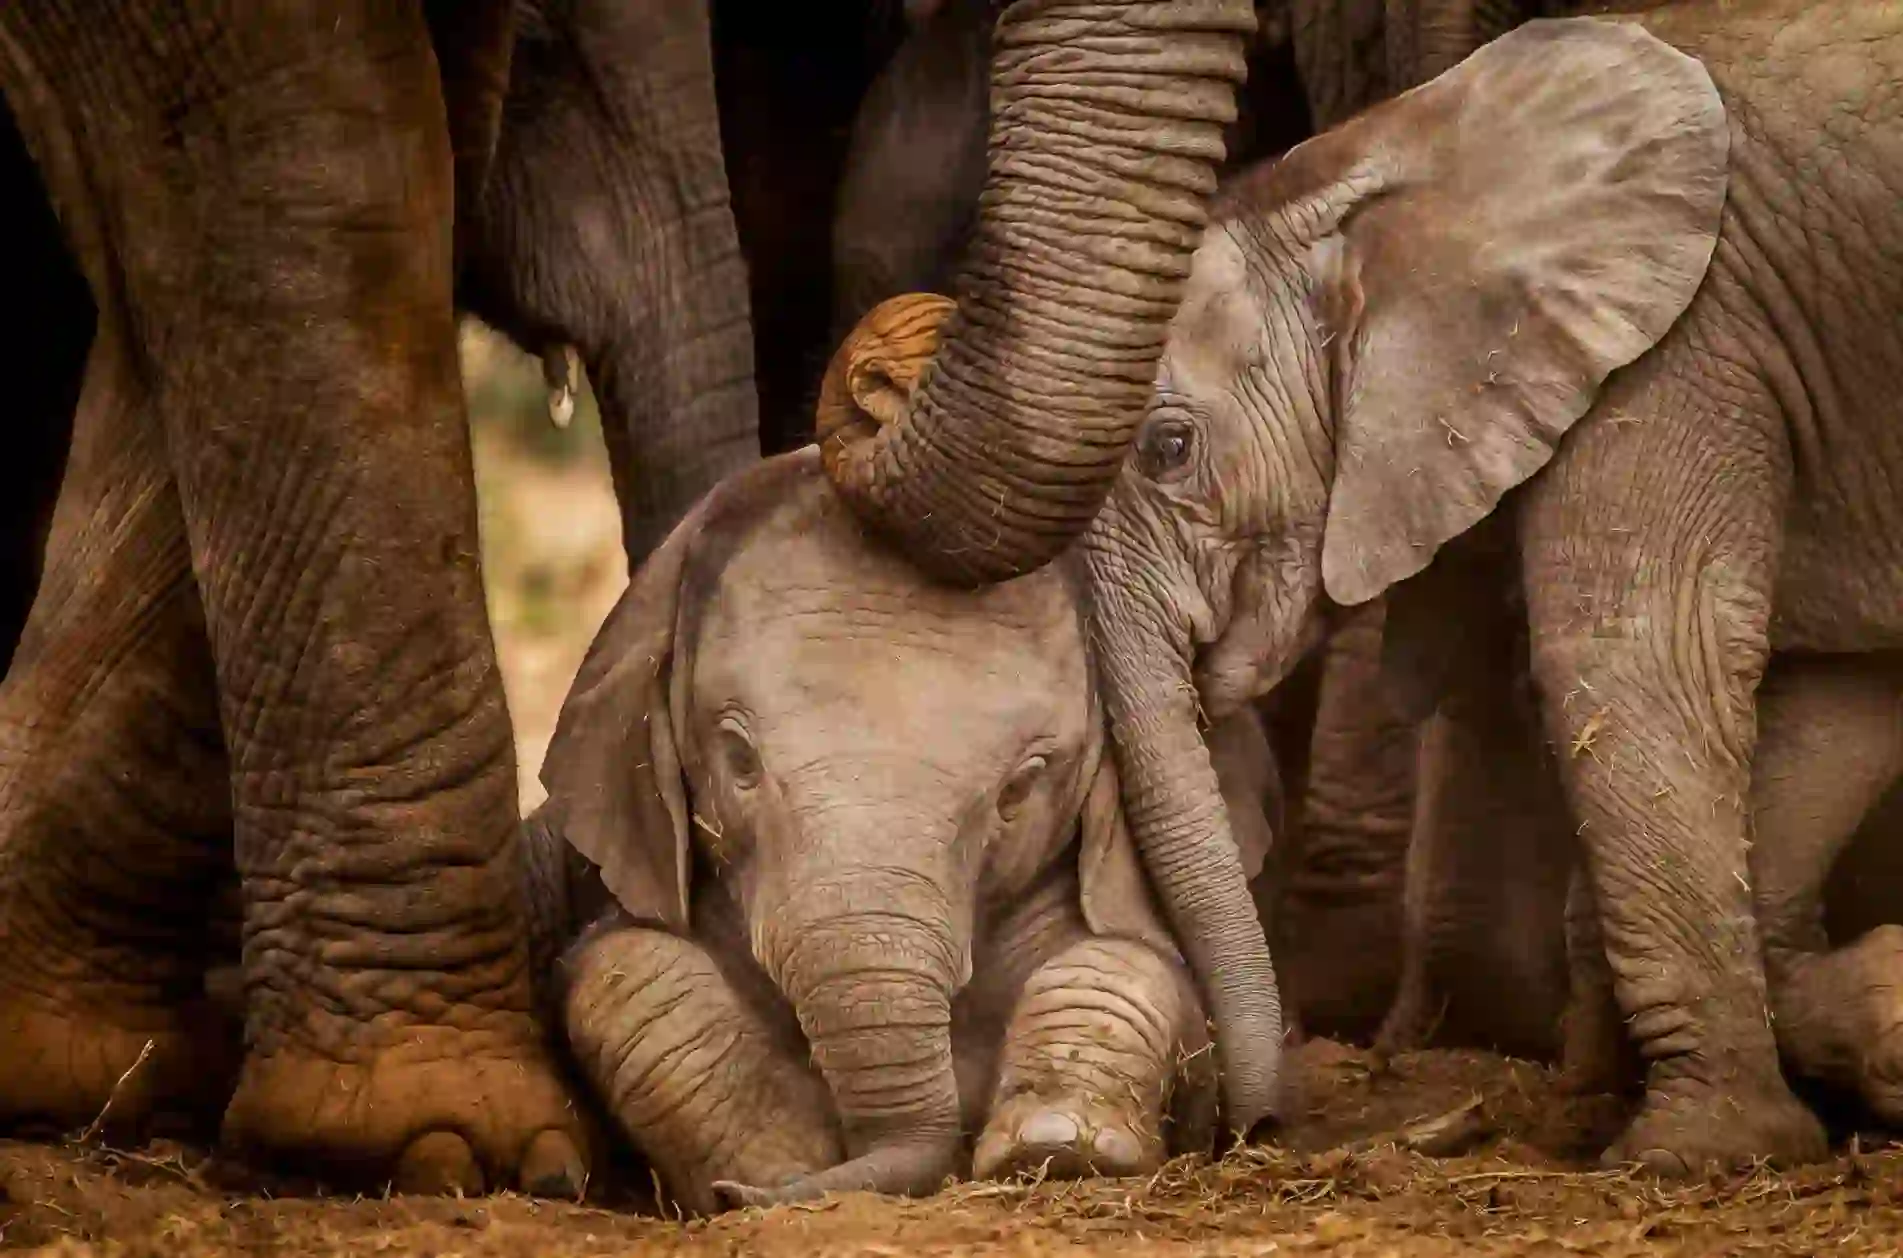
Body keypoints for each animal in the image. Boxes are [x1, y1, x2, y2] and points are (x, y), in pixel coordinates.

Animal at [531, 447, 1288, 1212]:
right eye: (739, 758)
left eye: (1020, 787)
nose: (734, 1193)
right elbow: (623, 966)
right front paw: (777, 1169)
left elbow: (1137, 964)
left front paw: (1057, 1146)